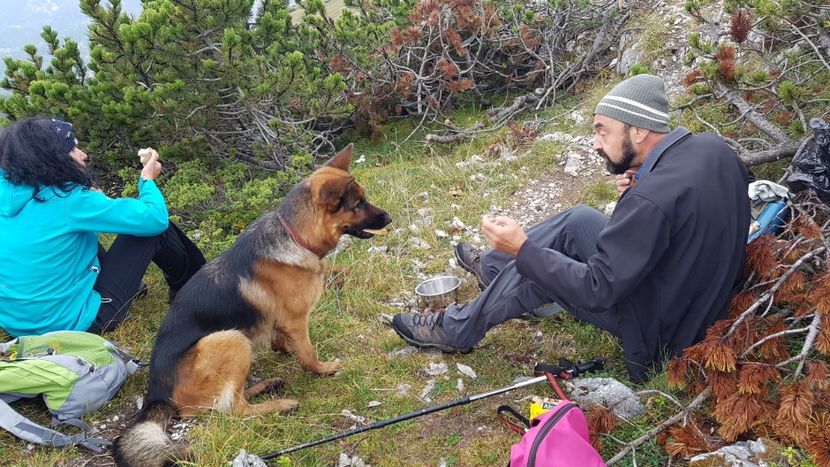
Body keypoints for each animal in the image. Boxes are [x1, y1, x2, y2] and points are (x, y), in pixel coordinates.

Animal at [111, 144, 394, 466]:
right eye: (358, 203)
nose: (388, 218)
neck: (297, 236)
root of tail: (156, 393)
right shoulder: (297, 320)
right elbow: (308, 353)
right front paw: (321, 369)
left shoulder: (283, 323)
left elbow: (283, 340)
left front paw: (284, 349)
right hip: (231, 339)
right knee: (234, 409)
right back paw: (281, 404)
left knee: (235, 396)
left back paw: (265, 385)